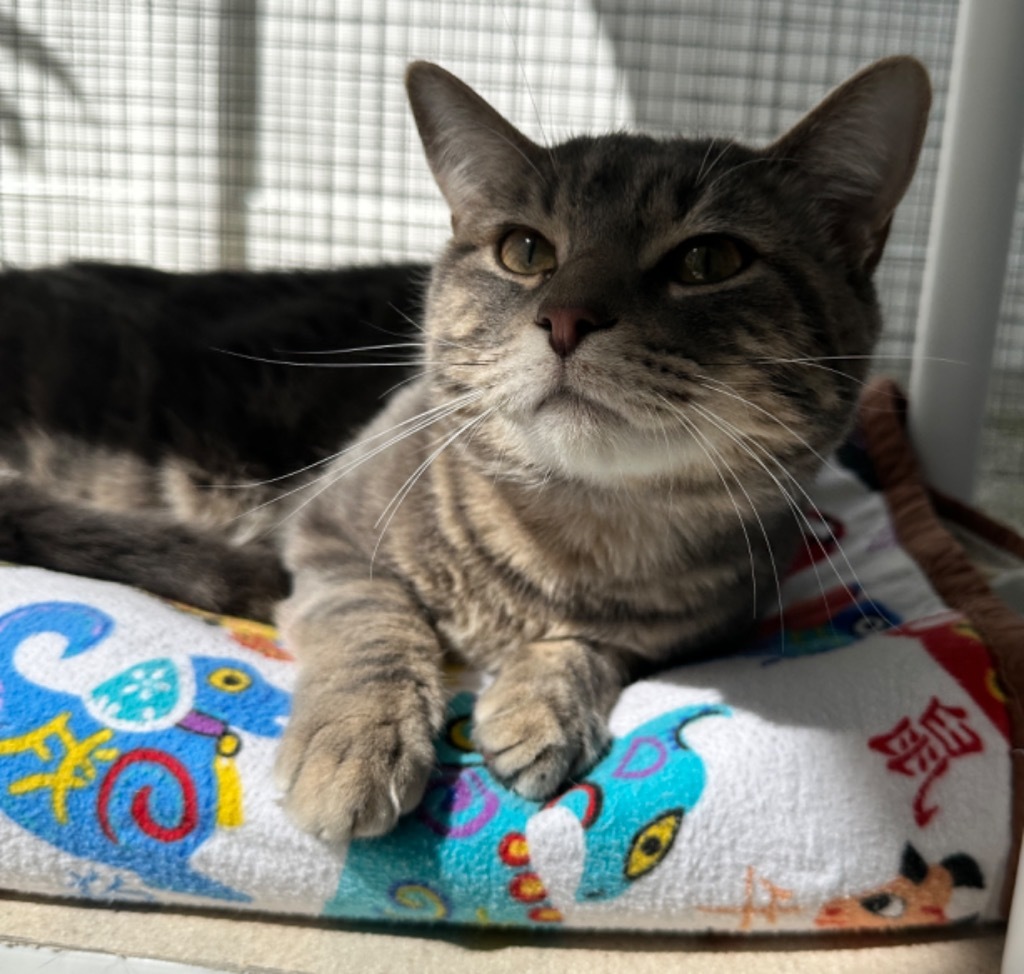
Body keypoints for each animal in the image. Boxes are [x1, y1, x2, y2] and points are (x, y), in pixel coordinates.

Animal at [0, 59, 929, 843]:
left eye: (709, 259)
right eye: (525, 251)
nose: (566, 317)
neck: (573, 538)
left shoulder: (702, 627)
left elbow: (599, 643)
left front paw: (542, 703)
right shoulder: (327, 539)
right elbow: (374, 623)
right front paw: (357, 743)